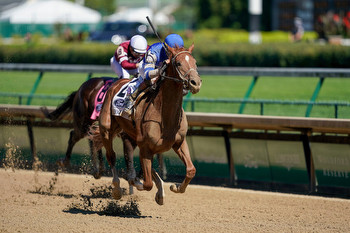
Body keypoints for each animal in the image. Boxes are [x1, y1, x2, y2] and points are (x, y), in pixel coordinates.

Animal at [98, 43, 202, 204]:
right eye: (178, 63)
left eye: (195, 62)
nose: (195, 83)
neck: (164, 115)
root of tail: (117, 83)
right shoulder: (146, 147)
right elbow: (147, 184)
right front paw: (135, 181)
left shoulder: (179, 142)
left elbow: (191, 170)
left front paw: (175, 187)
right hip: (106, 130)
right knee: (111, 156)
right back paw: (117, 189)